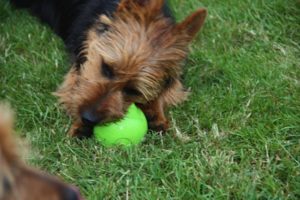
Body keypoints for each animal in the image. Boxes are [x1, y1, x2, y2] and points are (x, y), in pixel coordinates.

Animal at [9, 0, 206, 138]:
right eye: (106, 68)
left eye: (133, 91)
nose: (88, 118)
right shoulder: (81, 59)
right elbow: (74, 86)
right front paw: (79, 125)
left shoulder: (176, 77)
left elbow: (169, 90)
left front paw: (156, 114)